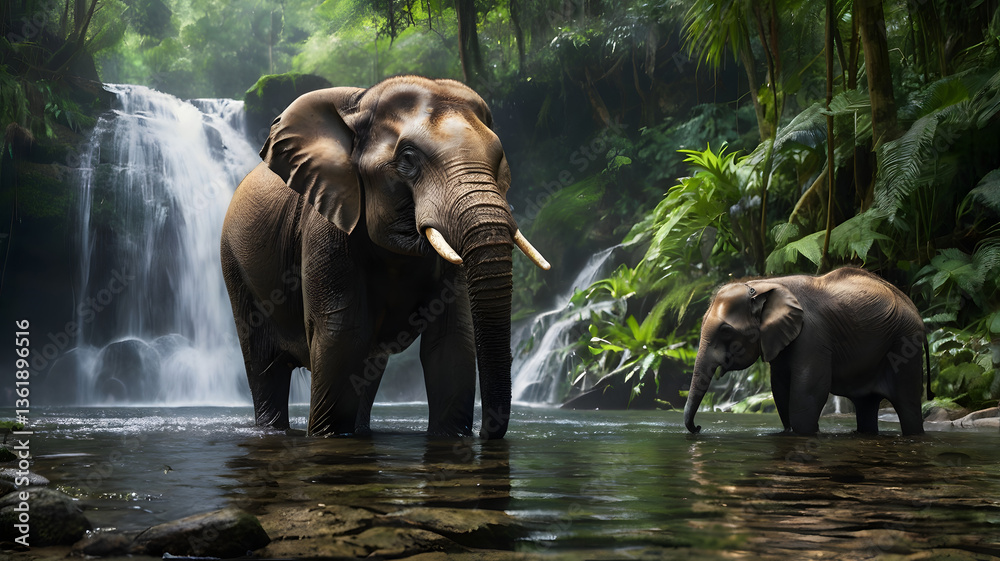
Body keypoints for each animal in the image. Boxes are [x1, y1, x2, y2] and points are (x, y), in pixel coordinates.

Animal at [220, 76, 549, 439]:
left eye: (499, 159)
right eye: (407, 158)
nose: (484, 433)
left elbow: (452, 341)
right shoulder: (327, 223)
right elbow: (341, 334)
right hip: (235, 266)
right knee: (264, 365)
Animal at [683, 267, 932, 436]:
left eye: (725, 331)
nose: (698, 427)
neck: (763, 283)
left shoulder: (812, 336)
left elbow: (809, 391)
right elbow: (780, 388)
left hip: (905, 344)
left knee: (907, 404)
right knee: (866, 404)